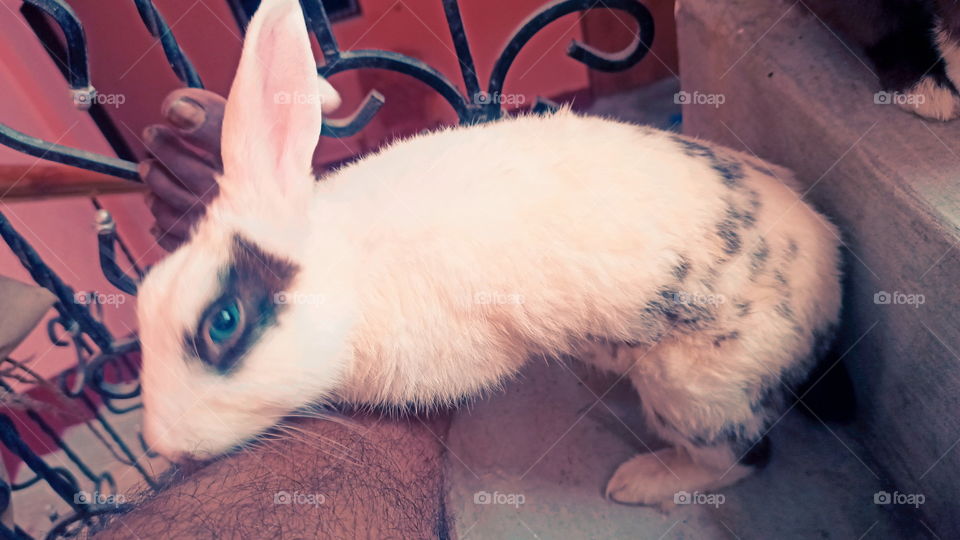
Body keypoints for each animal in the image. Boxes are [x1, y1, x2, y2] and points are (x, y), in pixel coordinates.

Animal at [136, 0, 842, 505]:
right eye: (142, 299)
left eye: (223, 322)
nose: (163, 445)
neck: (351, 273)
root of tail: (829, 275)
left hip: (694, 390)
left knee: (742, 459)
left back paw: (638, 481)